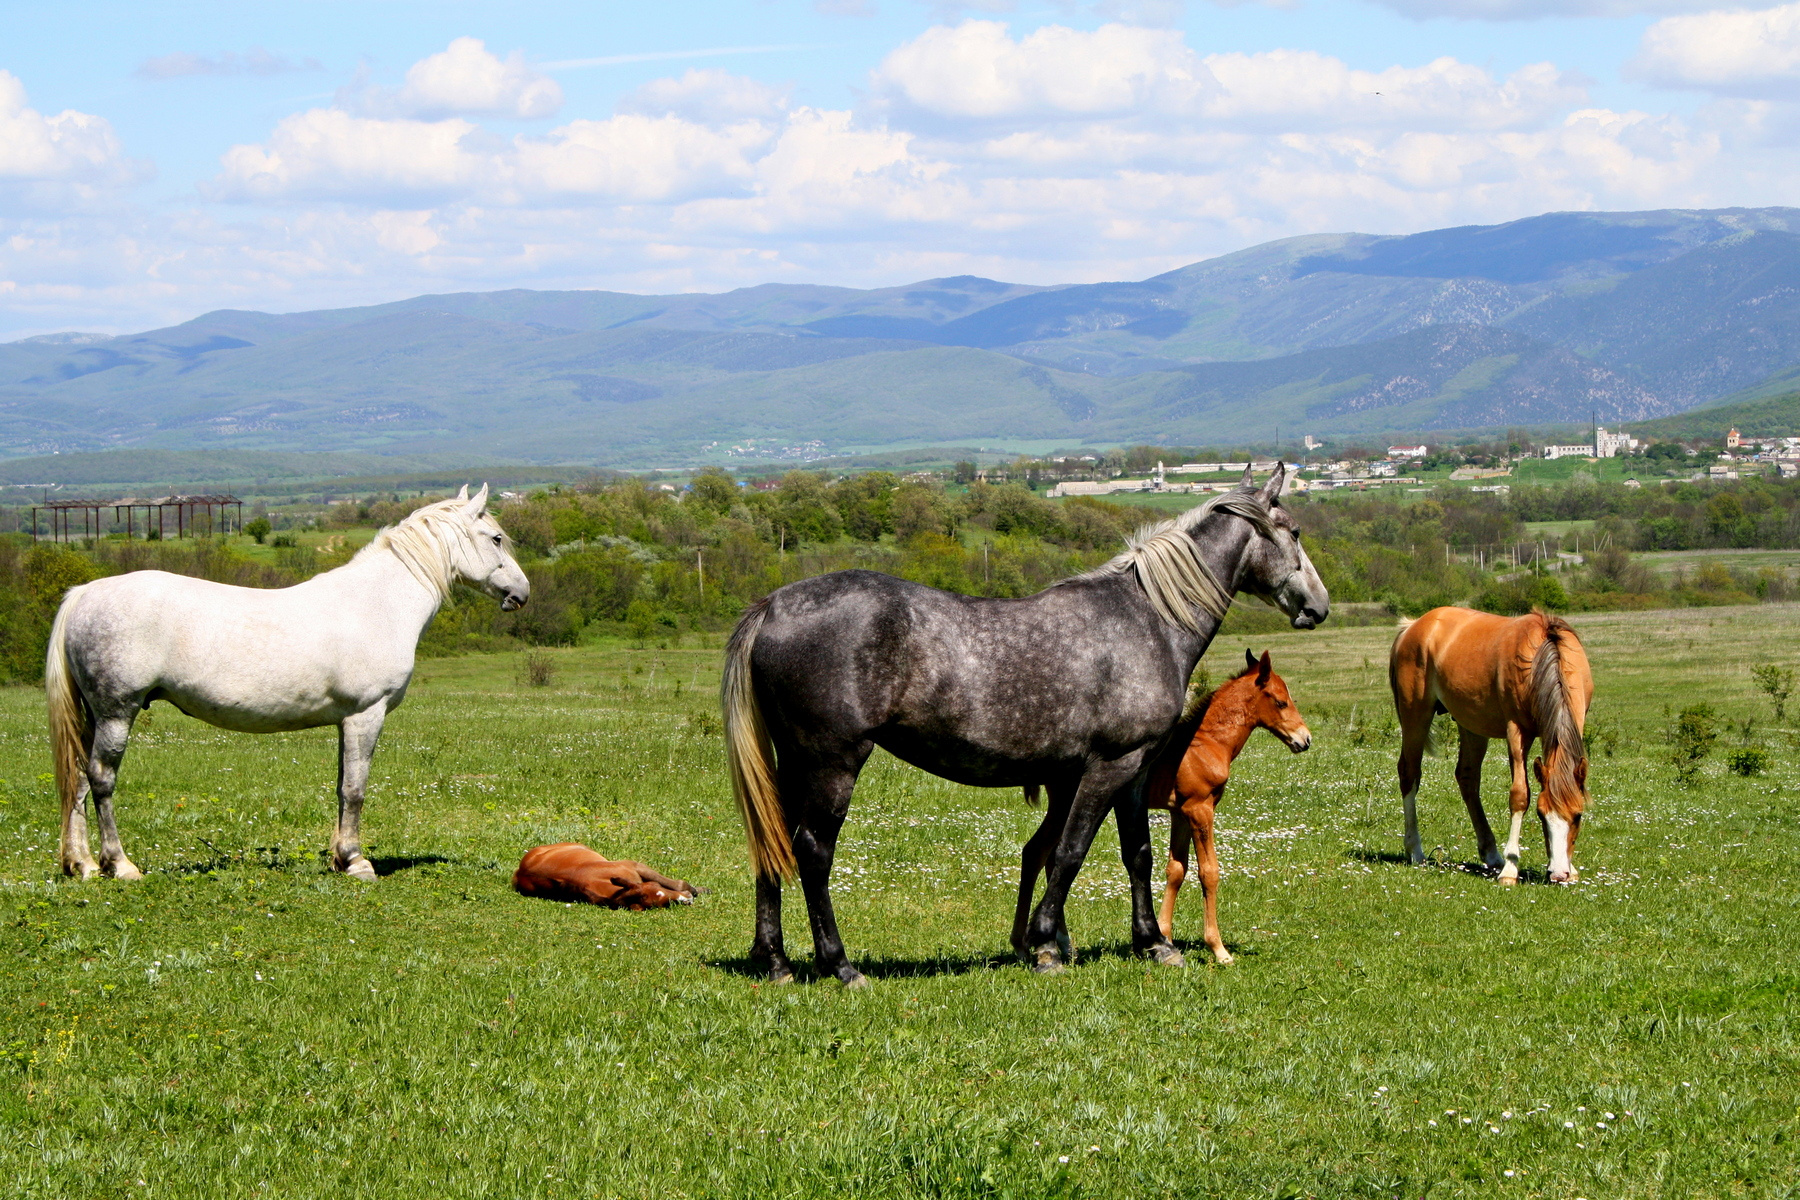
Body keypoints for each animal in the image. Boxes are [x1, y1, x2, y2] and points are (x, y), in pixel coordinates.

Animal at [46, 485, 529, 882]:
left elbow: (341, 787)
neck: (378, 603)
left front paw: (339, 858)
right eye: (496, 538)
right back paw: (120, 865)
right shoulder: (366, 715)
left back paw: (83, 865)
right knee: (102, 780)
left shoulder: (346, 721)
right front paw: (357, 862)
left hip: (96, 717)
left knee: (79, 781)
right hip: (117, 712)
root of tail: (84, 593)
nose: (522, 593)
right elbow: (356, 790)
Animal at [1014, 648, 1311, 966]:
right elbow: (1209, 871)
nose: (1305, 739)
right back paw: (1038, 945)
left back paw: (1054, 945)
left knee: (1039, 854)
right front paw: (1218, 949)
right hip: (1068, 802)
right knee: (1041, 853)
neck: (1205, 745)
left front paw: (1163, 937)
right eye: (1281, 701)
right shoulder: (1200, 809)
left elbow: (1176, 869)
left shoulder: (1180, 813)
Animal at [1389, 607, 1592, 884]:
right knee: (1409, 773)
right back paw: (1416, 851)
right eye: (1541, 814)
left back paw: (1491, 854)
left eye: (1578, 815)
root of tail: (1413, 626)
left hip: (1471, 724)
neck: (1545, 655)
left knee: (1467, 778)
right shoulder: (1516, 731)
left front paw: (1571, 870)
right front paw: (1511, 869)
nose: (1559, 873)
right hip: (1415, 715)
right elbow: (1519, 795)